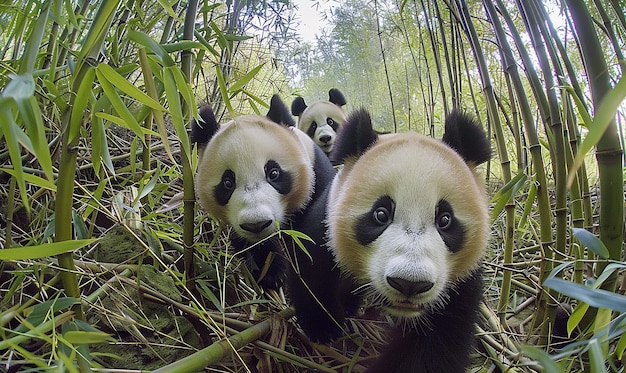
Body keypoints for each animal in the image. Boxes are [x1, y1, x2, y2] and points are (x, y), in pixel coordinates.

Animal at [191, 95, 334, 288]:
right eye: (227, 183)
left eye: (274, 173)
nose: (256, 224)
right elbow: (255, 246)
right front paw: (271, 273)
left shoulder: (318, 178)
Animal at [294, 106, 492, 370]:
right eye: (381, 214)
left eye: (445, 220)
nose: (410, 283)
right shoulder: (326, 226)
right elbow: (312, 272)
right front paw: (324, 328)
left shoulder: (460, 280)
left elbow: (435, 343)